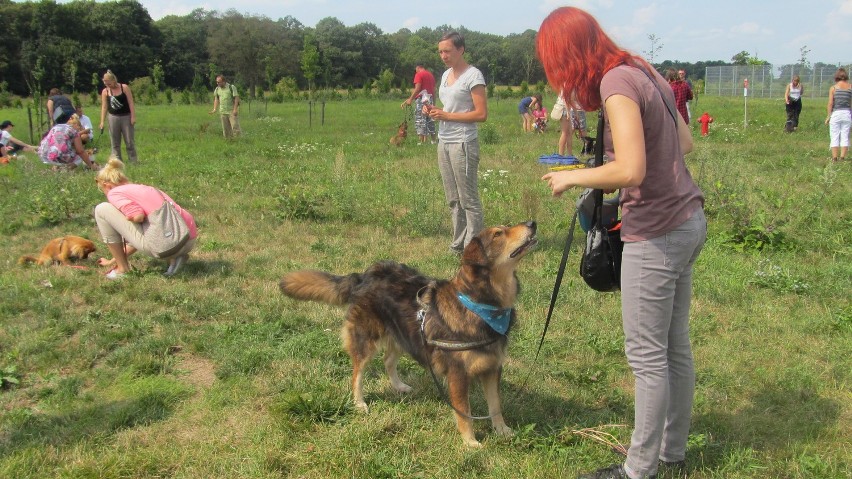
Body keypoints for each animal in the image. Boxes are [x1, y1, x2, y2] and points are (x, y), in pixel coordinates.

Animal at [280, 221, 536, 446]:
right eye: (498, 233)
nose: (532, 223)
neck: (480, 304)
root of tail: (363, 276)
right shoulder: (458, 374)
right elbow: (464, 412)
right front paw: (470, 442)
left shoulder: (492, 368)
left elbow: (495, 405)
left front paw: (502, 430)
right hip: (367, 339)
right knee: (357, 373)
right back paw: (359, 403)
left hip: (403, 335)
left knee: (388, 360)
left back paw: (399, 386)